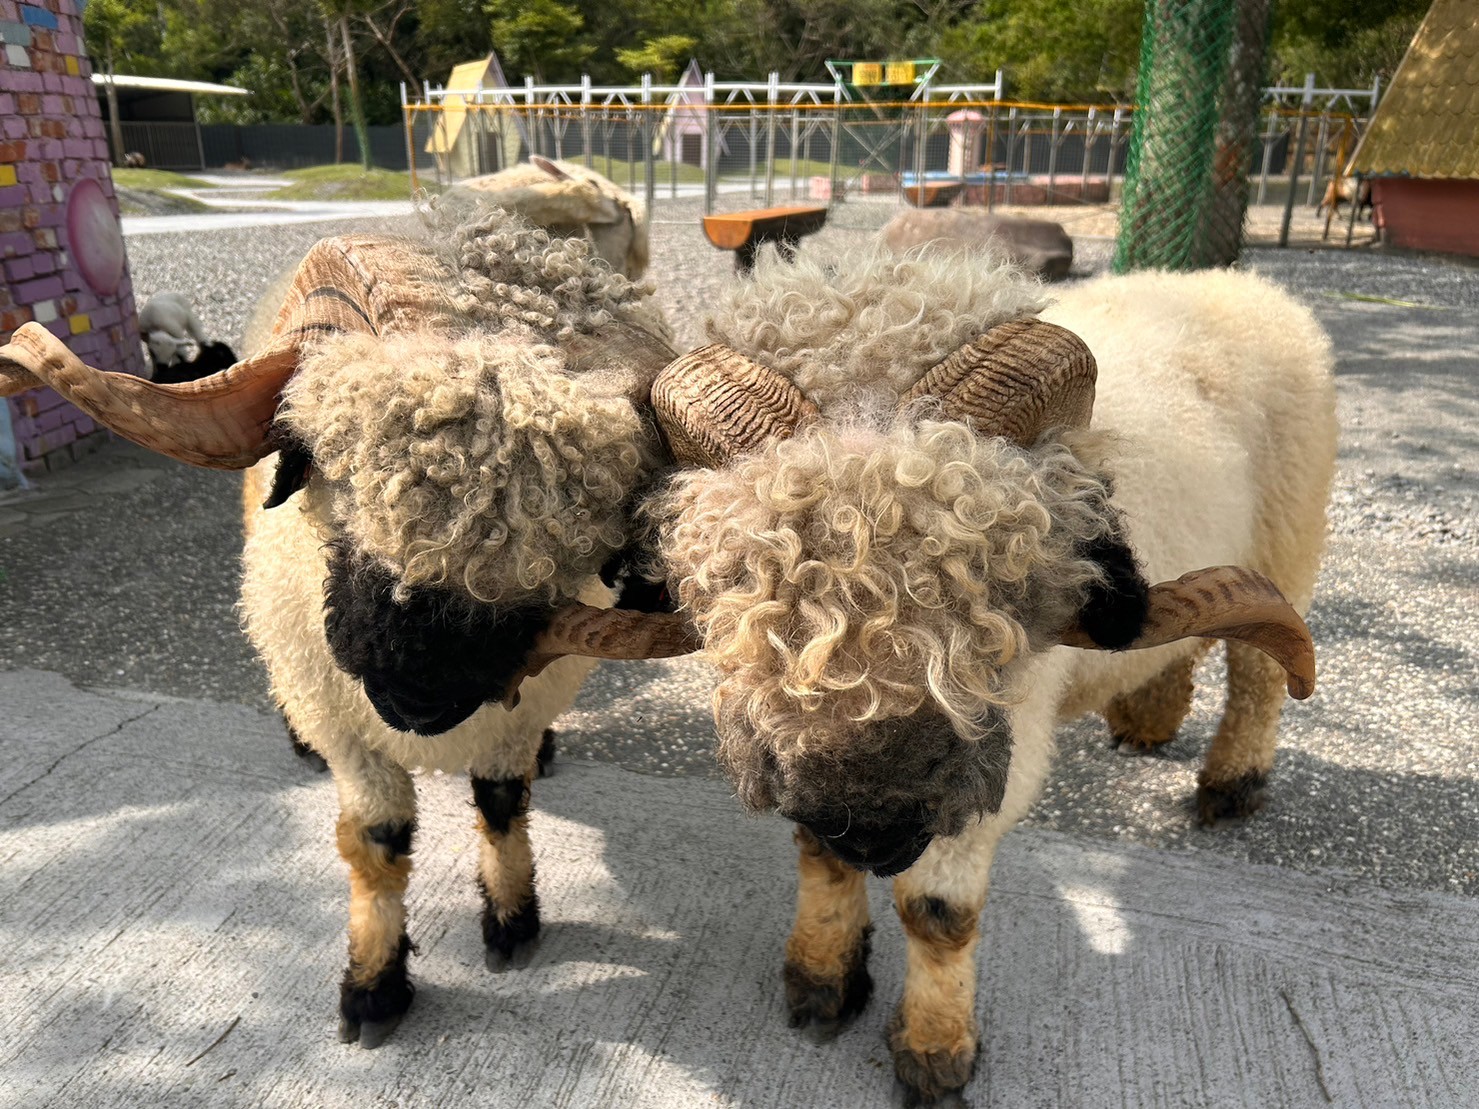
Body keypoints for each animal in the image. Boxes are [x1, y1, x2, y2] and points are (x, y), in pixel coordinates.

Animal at [0, 207, 695, 1052]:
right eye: (326, 457)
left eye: (589, 539)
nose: (414, 688)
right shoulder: (346, 723)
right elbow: (377, 841)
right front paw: (373, 989)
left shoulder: (518, 713)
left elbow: (502, 804)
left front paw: (511, 920)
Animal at [535, 245, 1342, 1106]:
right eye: (733, 579)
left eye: (1001, 576)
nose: (875, 823)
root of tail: (1239, 282)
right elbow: (818, 855)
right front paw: (821, 981)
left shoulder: (998, 755)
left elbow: (935, 910)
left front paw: (934, 1051)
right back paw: (1147, 718)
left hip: (1288, 537)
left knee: (1256, 675)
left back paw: (1230, 786)